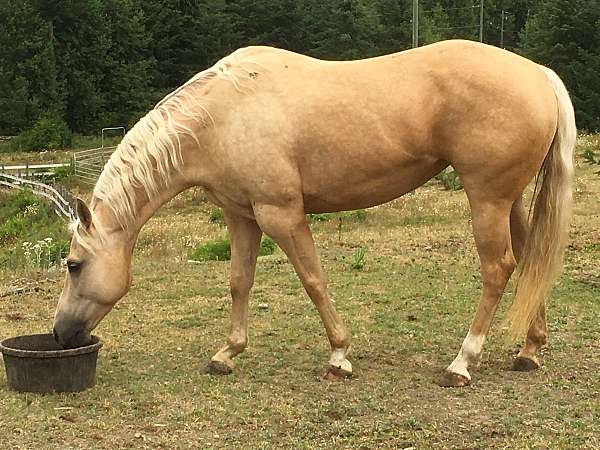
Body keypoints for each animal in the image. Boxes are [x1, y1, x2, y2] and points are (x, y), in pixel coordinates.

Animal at [54, 40, 576, 386]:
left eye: (73, 264)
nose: (60, 333)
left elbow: (313, 279)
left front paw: (339, 354)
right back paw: (529, 349)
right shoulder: (242, 217)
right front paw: (227, 353)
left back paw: (462, 363)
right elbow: (239, 281)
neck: (221, 116)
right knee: (530, 261)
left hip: (486, 199)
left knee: (498, 269)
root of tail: (538, 73)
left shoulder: (281, 215)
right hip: (508, 200)